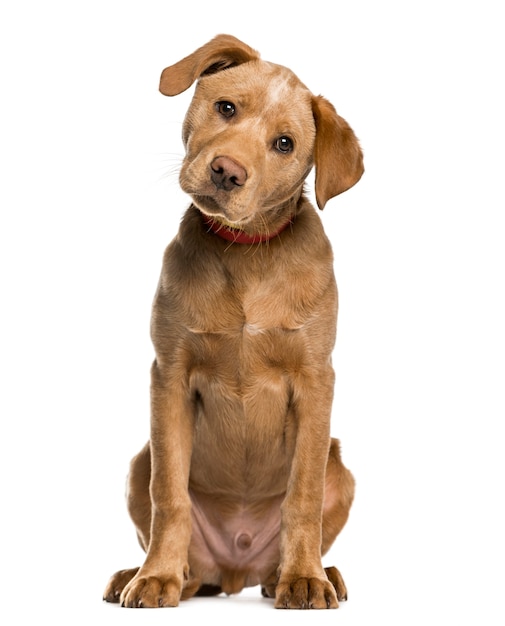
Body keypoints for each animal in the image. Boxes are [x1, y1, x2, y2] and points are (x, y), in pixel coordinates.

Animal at [102, 33, 362, 604]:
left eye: (285, 144)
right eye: (226, 108)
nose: (226, 171)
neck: (245, 252)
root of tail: (235, 570)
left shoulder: (316, 380)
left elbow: (303, 495)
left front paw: (305, 578)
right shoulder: (170, 375)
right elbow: (169, 494)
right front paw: (154, 577)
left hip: (342, 470)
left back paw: (310, 574)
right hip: (138, 463)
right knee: (174, 531)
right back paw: (148, 575)